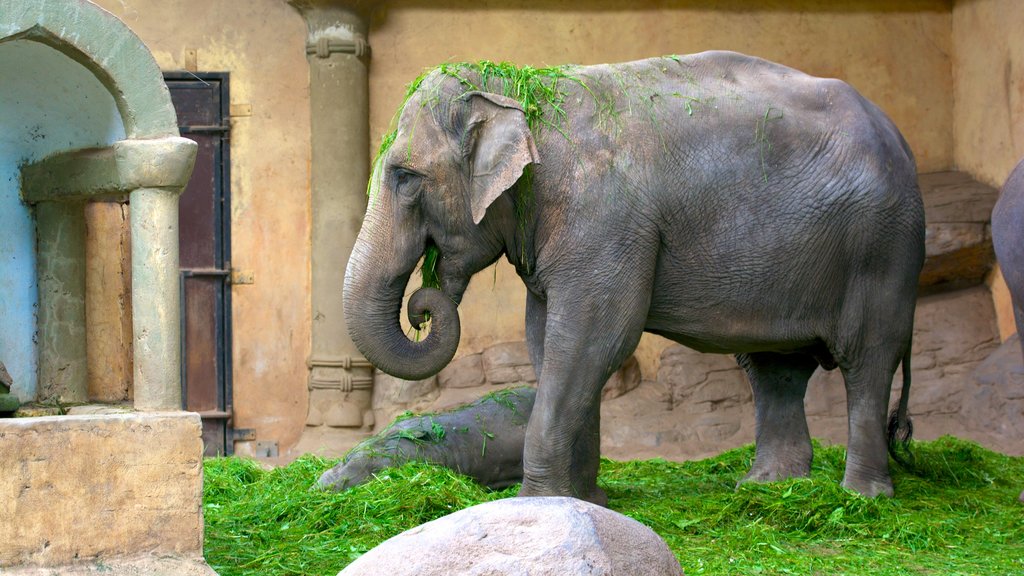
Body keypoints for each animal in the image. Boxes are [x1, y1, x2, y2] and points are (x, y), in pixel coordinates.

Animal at [344, 51, 929, 500]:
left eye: (405, 178)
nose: (423, 305)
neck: (522, 90)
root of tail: (900, 139)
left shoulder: (606, 218)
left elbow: (593, 337)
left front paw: (536, 503)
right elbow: (547, 341)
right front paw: (585, 501)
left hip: (883, 249)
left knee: (867, 360)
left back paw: (863, 497)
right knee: (775, 370)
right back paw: (768, 487)